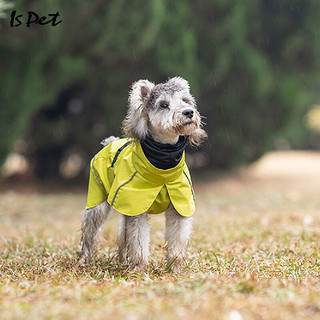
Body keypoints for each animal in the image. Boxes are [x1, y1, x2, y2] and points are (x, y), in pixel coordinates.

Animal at [79, 76, 206, 272]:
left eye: (185, 100)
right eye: (163, 105)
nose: (189, 112)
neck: (163, 164)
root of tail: (110, 142)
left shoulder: (179, 206)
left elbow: (177, 238)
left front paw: (174, 268)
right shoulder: (136, 207)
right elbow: (138, 239)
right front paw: (140, 268)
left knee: (122, 232)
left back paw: (123, 259)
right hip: (98, 200)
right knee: (90, 230)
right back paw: (86, 259)